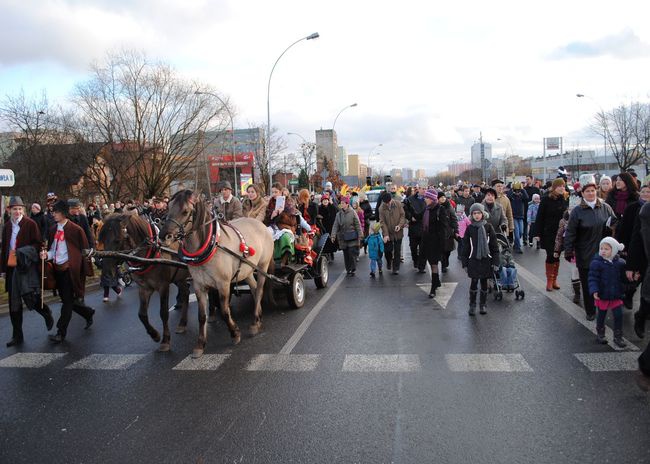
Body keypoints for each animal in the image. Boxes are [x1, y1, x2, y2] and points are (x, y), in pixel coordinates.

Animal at [97, 212, 191, 350]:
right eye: (102, 241)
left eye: (117, 240)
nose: (107, 274)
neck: (150, 253)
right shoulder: (144, 288)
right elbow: (141, 314)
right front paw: (154, 335)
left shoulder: (163, 286)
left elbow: (163, 312)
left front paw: (165, 340)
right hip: (179, 278)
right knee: (185, 293)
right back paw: (182, 324)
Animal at [162, 190, 276, 358]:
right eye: (168, 207)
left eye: (185, 211)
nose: (164, 236)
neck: (212, 245)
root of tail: (262, 226)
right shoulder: (199, 286)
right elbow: (201, 316)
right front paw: (200, 344)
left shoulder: (223, 284)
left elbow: (224, 310)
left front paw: (235, 334)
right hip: (247, 269)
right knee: (255, 289)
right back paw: (259, 316)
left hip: (262, 266)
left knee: (260, 289)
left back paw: (255, 322)